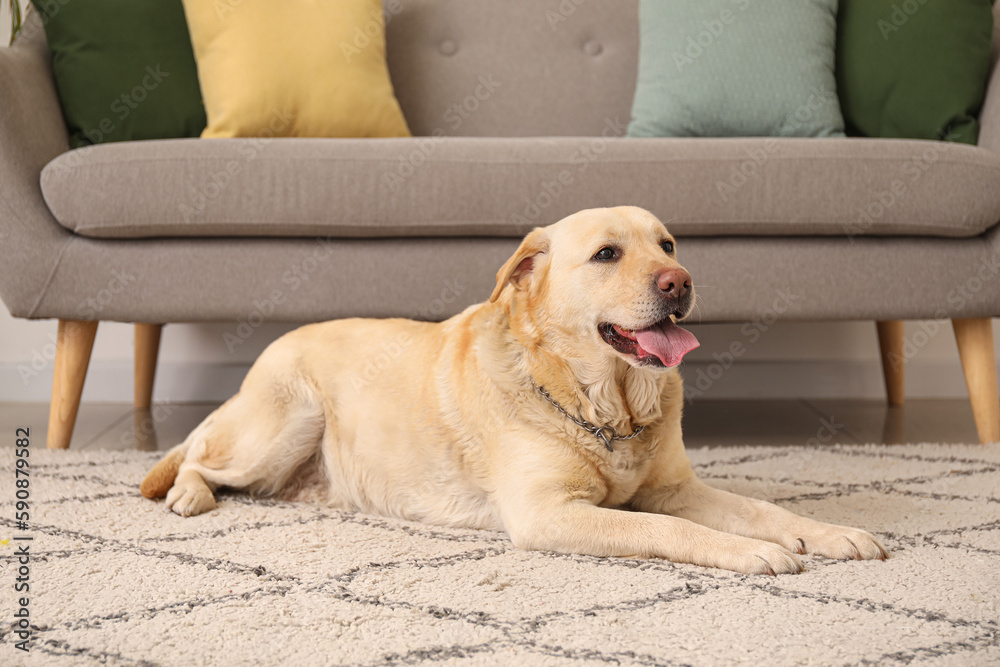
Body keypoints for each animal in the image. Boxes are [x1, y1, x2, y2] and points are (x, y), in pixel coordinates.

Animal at [143, 205, 892, 576]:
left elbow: (763, 508)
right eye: (607, 254)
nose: (680, 282)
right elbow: (665, 528)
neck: (606, 404)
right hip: (285, 420)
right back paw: (187, 493)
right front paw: (747, 552)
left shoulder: (677, 485)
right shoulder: (549, 513)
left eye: (669, 244)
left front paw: (831, 534)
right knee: (197, 456)